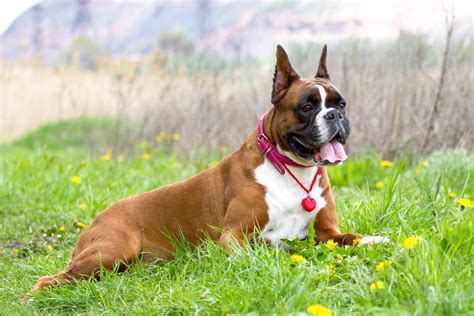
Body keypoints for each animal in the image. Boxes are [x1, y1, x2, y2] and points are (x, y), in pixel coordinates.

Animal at [35, 45, 386, 290]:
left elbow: (351, 237)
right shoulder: (234, 236)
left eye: (341, 104)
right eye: (307, 106)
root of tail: (96, 219)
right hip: (111, 251)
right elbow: (267, 246)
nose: (335, 116)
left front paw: (374, 240)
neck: (291, 169)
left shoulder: (328, 233)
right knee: (49, 280)